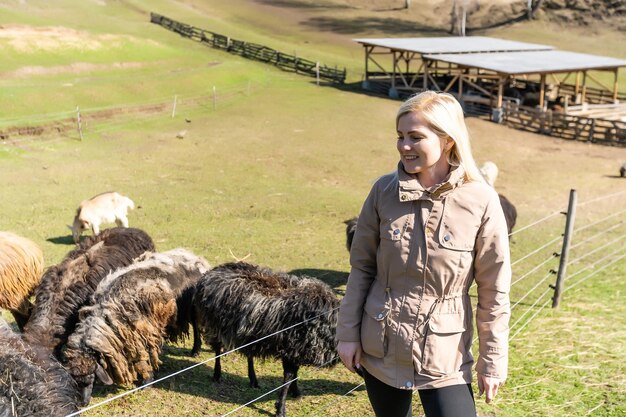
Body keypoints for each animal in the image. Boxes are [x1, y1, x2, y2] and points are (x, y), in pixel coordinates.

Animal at [63, 249, 210, 404]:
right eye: (75, 381)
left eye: (91, 377)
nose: (83, 403)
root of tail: (194, 256)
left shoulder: (146, 333)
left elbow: (146, 357)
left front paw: (147, 382)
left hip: (194, 308)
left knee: (197, 328)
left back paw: (195, 350)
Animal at [191, 262, 336, 416]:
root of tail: (211, 272)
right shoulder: (292, 348)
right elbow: (288, 377)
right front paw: (281, 408)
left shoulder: (296, 351)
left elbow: (294, 375)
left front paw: (295, 393)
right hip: (214, 325)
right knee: (218, 350)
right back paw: (217, 374)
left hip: (247, 331)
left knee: (248, 354)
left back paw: (253, 379)